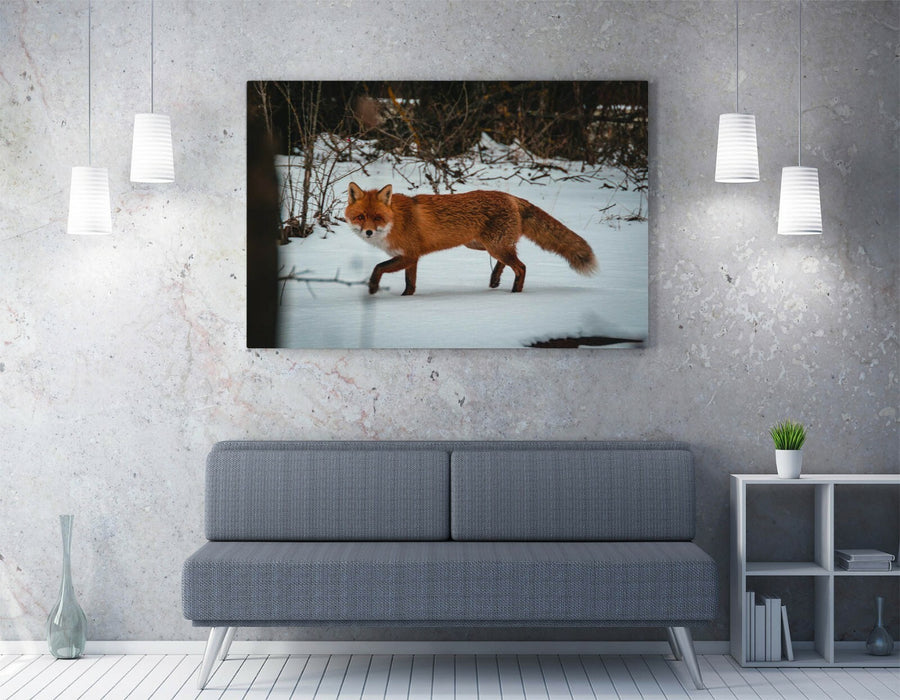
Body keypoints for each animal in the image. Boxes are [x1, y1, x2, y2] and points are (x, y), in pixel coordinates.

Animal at [344, 182, 597, 296]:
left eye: (377, 217)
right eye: (360, 217)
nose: (368, 232)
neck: (396, 220)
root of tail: (511, 196)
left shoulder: (409, 255)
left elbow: (378, 267)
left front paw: (373, 288)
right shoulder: (411, 258)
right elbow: (410, 284)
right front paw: (407, 298)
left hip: (493, 245)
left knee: (521, 267)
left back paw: (515, 293)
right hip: (482, 245)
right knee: (509, 260)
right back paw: (495, 280)